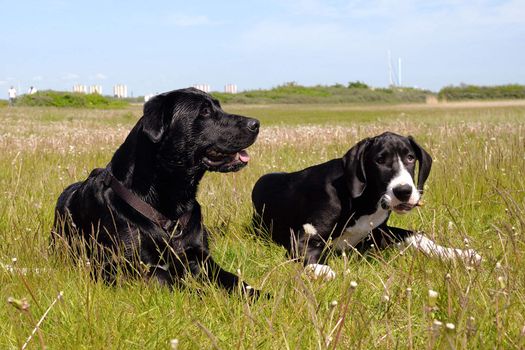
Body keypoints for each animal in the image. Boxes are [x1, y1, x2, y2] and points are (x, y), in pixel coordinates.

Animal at [52, 87, 260, 292]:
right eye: (205, 111)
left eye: (219, 107)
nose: (256, 124)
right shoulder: (124, 268)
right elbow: (175, 282)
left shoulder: (200, 256)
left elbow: (234, 280)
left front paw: (258, 295)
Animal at [252, 133, 482, 280]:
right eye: (379, 160)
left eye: (410, 158)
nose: (404, 191)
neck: (363, 201)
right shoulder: (303, 238)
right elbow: (309, 255)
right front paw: (321, 270)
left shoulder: (379, 231)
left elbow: (418, 236)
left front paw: (459, 254)